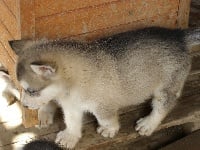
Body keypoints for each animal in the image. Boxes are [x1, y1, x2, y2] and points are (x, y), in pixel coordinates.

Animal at [9, 27, 200, 149]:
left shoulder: (102, 105)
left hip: (165, 87)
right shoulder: (71, 106)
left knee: (164, 105)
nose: (24, 105)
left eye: (32, 91)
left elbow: (106, 119)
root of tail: (178, 35)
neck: (73, 84)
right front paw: (70, 137)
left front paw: (110, 129)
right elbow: (72, 122)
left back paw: (149, 124)